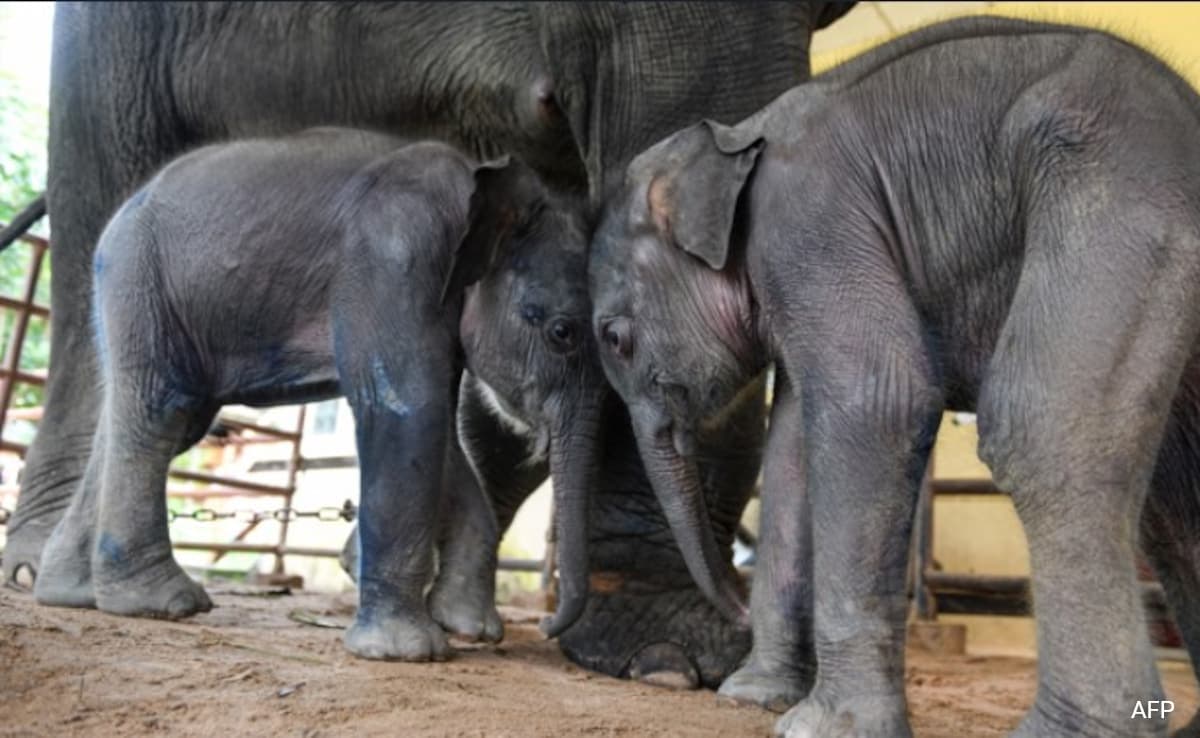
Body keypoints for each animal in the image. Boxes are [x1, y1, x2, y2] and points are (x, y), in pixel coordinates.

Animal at [36, 127, 600, 662]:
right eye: (562, 333)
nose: (546, 626)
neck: (480, 185)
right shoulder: (394, 257)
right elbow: (408, 409)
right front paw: (405, 652)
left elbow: (439, 430)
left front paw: (469, 628)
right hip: (139, 278)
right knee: (163, 410)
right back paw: (164, 603)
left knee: (150, 418)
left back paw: (72, 594)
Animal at [588, 17, 1200, 738]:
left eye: (615, 339)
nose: (731, 608)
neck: (738, 136)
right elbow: (793, 458)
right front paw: (753, 699)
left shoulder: (810, 225)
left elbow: (876, 401)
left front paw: (817, 726)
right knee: (1176, 498)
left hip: (1114, 188)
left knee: (1045, 432)